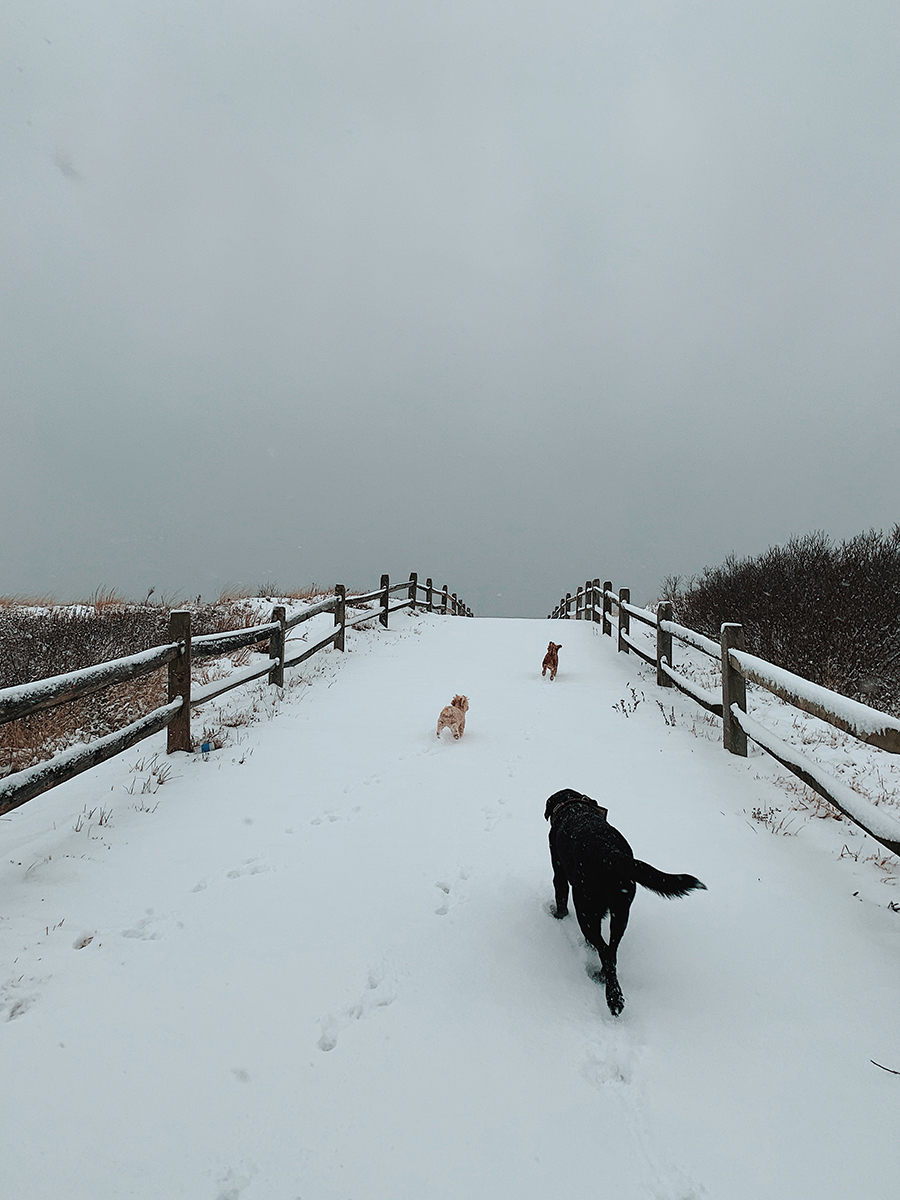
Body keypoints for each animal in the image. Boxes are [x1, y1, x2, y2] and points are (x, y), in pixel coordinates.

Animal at [547, 792, 710, 1017]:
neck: (575, 808)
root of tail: (611, 855)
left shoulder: (559, 869)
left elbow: (560, 898)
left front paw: (555, 915)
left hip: (586, 911)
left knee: (605, 950)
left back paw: (613, 1000)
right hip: (621, 914)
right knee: (611, 951)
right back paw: (608, 986)